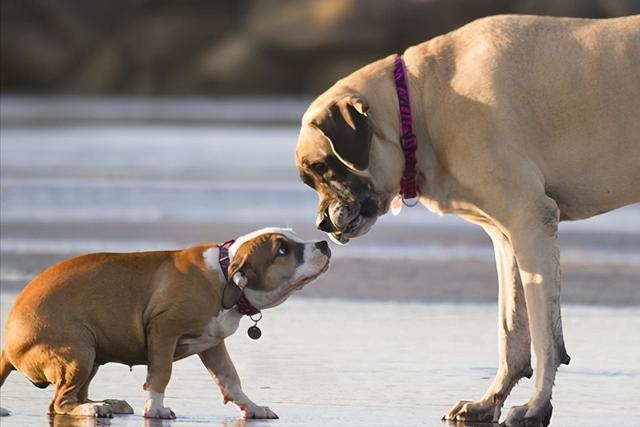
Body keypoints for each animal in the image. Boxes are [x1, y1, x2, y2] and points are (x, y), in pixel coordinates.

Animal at [0, 229, 330, 420]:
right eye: (283, 250)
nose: (324, 243)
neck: (224, 273)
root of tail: (8, 344)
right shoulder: (164, 329)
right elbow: (160, 373)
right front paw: (156, 409)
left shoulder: (213, 344)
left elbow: (231, 379)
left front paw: (253, 407)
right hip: (80, 349)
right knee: (59, 402)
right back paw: (91, 408)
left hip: (91, 355)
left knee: (75, 394)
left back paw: (105, 403)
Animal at [296, 15, 640, 427]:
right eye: (308, 179)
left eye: (321, 167)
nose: (321, 223)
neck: (421, 104)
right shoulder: (507, 239)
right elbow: (512, 331)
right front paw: (489, 401)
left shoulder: (530, 223)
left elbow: (545, 337)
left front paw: (537, 406)